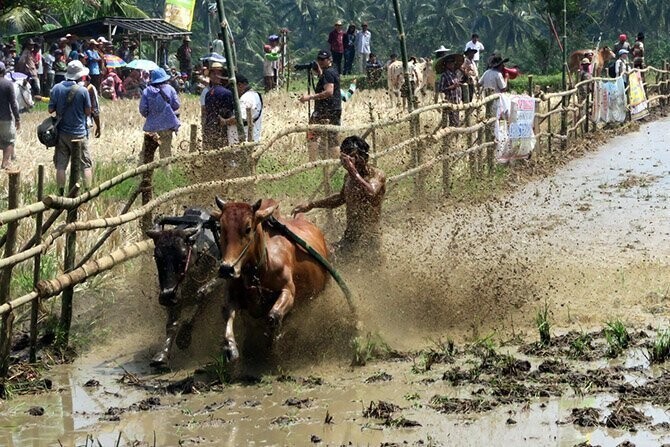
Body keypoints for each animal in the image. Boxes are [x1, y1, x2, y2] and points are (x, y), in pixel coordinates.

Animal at [146, 209, 220, 368]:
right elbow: (172, 324)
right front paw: (162, 354)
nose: (166, 296)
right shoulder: (175, 294)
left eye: (183, 255)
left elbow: (201, 294)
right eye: (157, 256)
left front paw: (184, 336)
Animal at [213, 198, 330, 362]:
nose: (226, 268)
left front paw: (271, 343)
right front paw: (230, 348)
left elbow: (273, 316)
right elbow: (228, 313)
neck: (258, 273)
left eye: (248, 228)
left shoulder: (288, 292)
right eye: (221, 227)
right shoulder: (232, 294)